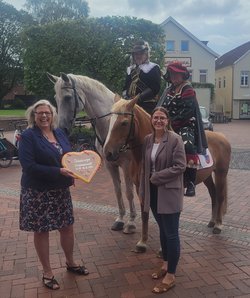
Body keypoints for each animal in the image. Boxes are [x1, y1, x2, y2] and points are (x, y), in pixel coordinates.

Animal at [47, 73, 138, 235]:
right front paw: (121, 219)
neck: (110, 124)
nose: (61, 129)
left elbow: (129, 192)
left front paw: (132, 221)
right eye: (55, 97)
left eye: (68, 97)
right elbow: (118, 190)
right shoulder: (110, 164)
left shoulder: (127, 165)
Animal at [103, 95, 230, 251]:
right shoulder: (141, 188)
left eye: (124, 123)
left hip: (221, 173)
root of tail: (221, 136)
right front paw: (142, 242)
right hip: (207, 176)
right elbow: (145, 214)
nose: (107, 153)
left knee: (220, 196)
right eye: (109, 121)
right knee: (213, 194)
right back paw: (212, 221)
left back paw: (218, 225)